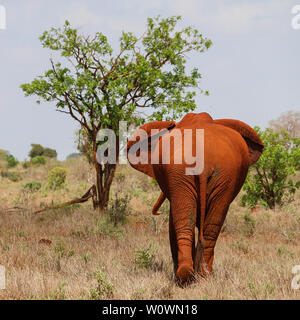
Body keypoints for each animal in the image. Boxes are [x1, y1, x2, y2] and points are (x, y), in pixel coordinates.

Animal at [126, 112, 262, 284]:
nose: (157, 213)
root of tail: (203, 158)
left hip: (187, 173)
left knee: (185, 222)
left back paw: (185, 277)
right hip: (219, 174)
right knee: (210, 225)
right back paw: (202, 275)